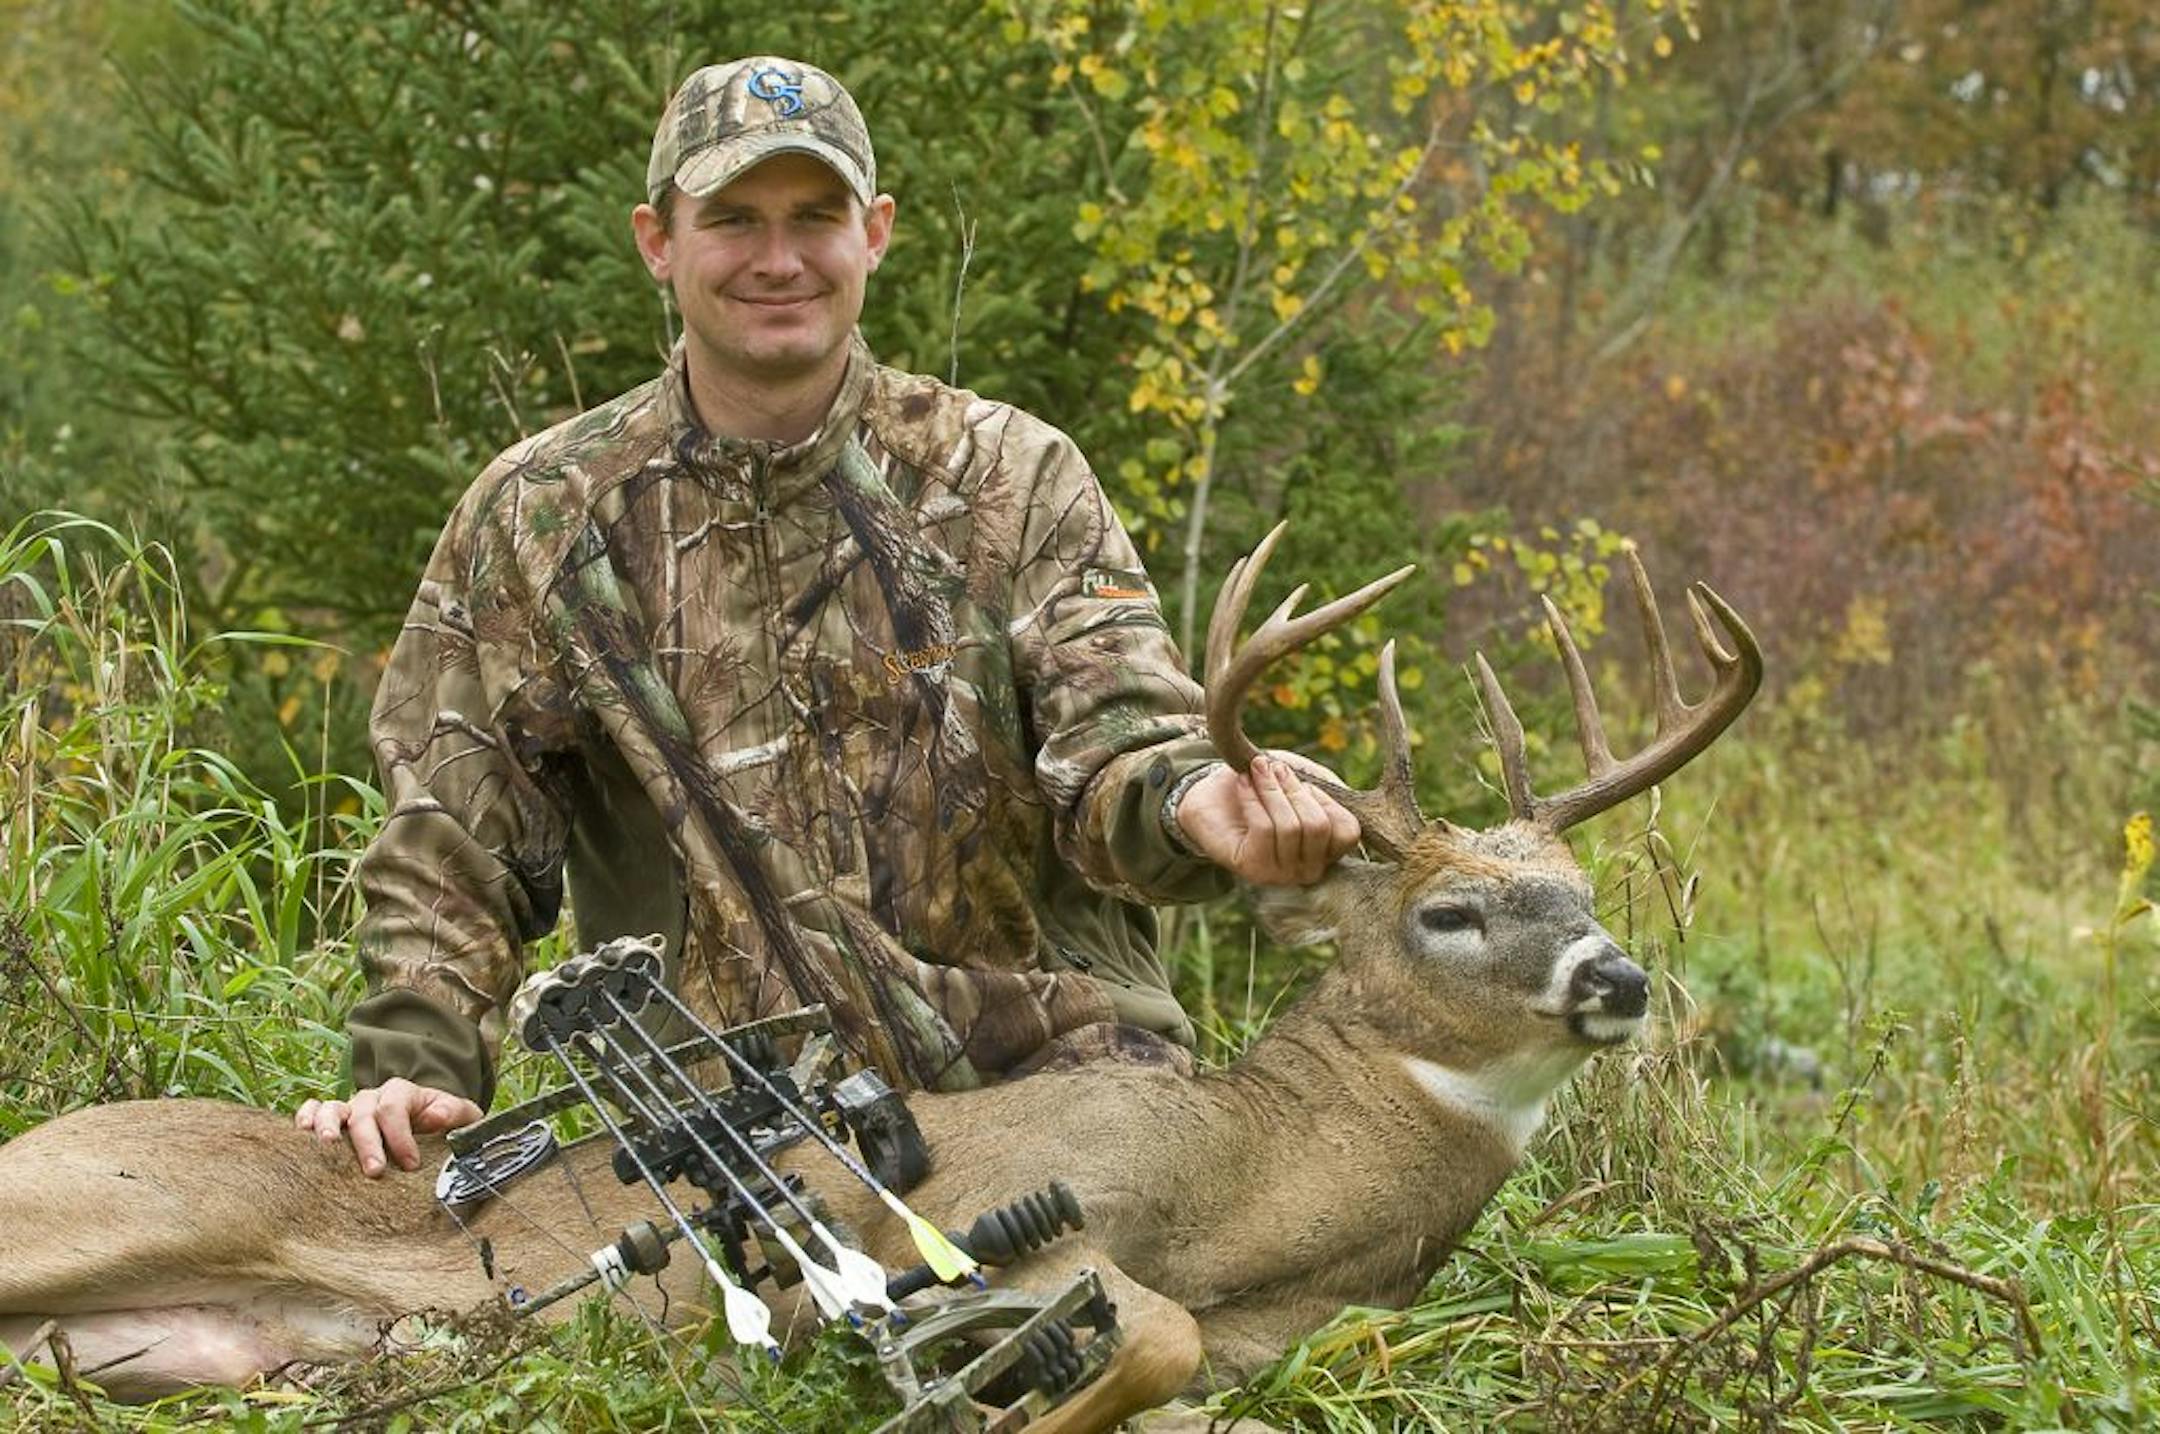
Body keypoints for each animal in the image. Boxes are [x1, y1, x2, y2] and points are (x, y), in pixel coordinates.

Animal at [0, 532, 1761, 1432]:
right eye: (1454, 910)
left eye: (1583, 890)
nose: (1620, 974)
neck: (1266, 1196)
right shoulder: (1007, 1209)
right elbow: (1143, 1337)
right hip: (93, 1197)